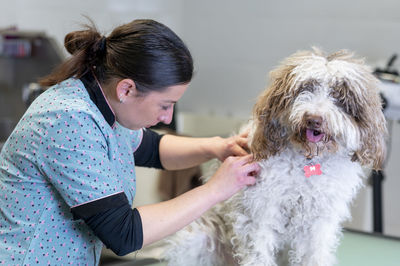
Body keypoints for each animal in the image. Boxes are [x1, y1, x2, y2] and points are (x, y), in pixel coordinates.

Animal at [162, 48, 388, 266]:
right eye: (305, 88)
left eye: (338, 95)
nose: (313, 119)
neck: (307, 161)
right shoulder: (259, 212)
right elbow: (258, 252)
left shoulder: (318, 221)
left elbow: (312, 254)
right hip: (194, 240)